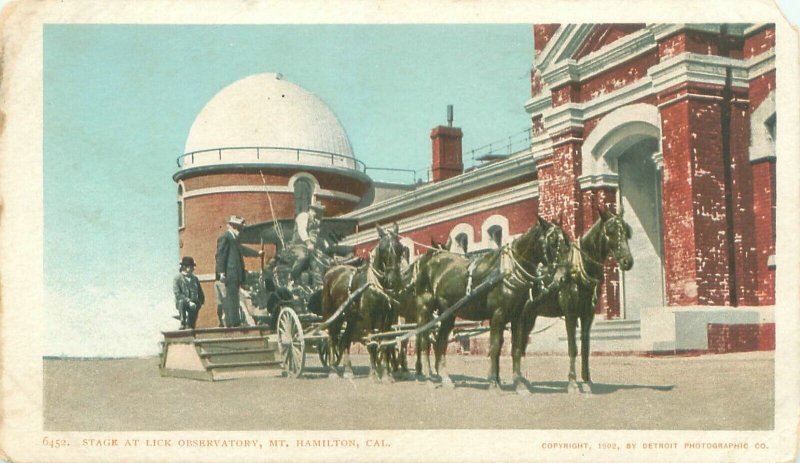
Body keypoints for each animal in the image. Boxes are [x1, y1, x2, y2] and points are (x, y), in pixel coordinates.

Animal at [320, 224, 406, 380]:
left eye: (400, 248)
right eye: (383, 249)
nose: (393, 279)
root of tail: (332, 270)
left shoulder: (389, 317)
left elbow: (384, 341)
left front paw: (386, 374)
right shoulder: (369, 315)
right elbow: (372, 341)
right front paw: (373, 374)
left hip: (352, 318)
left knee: (344, 340)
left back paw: (348, 370)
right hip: (333, 315)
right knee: (331, 338)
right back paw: (333, 370)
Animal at [412, 217, 568, 392]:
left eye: (566, 242)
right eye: (553, 242)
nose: (562, 278)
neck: (508, 271)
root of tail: (429, 261)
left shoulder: (518, 316)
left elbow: (515, 348)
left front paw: (519, 384)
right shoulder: (498, 315)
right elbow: (495, 346)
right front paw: (494, 382)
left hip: (447, 314)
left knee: (440, 342)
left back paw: (445, 378)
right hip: (424, 309)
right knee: (423, 340)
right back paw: (427, 375)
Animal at [524, 207, 636, 396]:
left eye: (627, 232)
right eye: (610, 231)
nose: (628, 262)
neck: (577, 270)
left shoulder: (587, 315)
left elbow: (585, 347)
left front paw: (587, 381)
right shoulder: (570, 313)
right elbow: (573, 348)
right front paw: (573, 383)